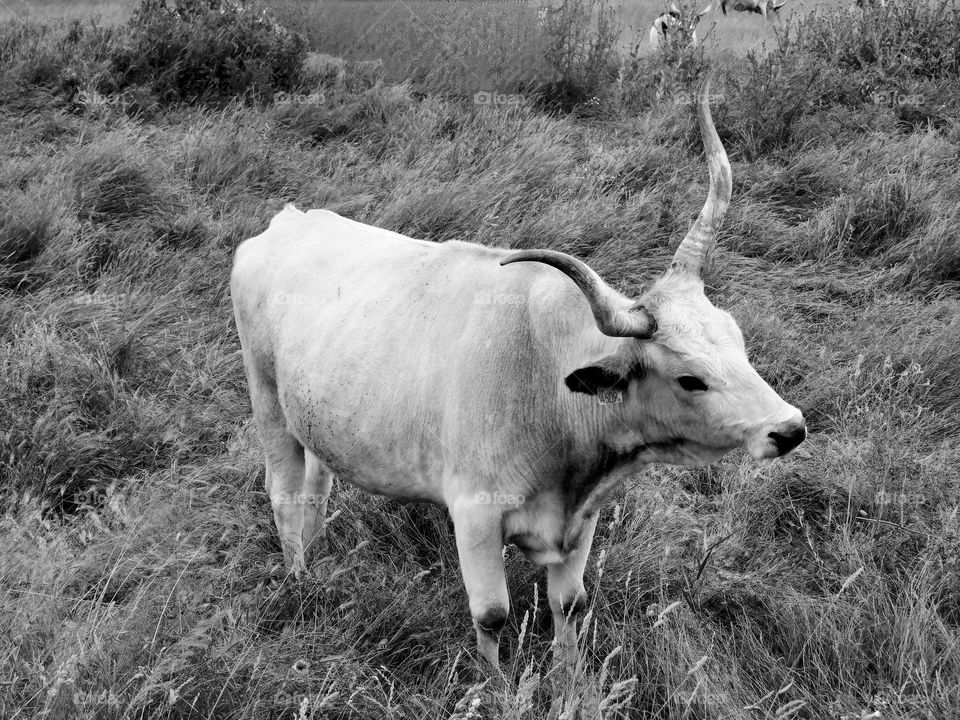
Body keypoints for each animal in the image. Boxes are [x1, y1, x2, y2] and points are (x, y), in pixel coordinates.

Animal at [230, 79, 806, 670]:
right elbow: (492, 614)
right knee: (285, 493)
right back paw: (300, 578)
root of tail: (291, 221)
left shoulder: (582, 521)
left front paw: (569, 676)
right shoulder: (474, 516)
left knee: (317, 487)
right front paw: (495, 680)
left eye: (738, 339)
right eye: (690, 379)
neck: (547, 383)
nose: (789, 428)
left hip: (317, 417)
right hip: (267, 403)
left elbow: (569, 604)